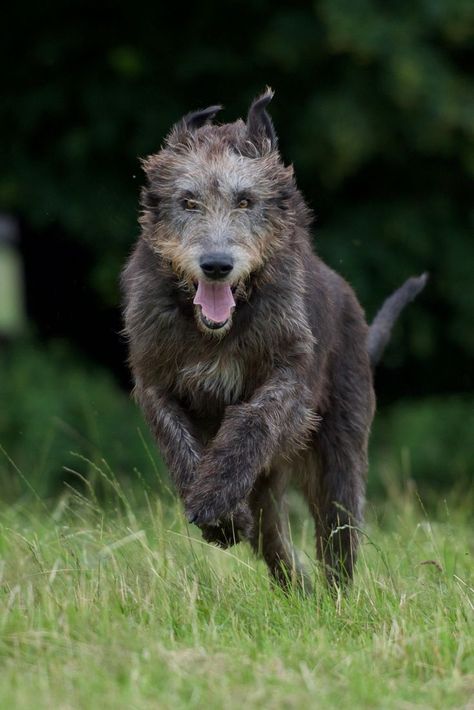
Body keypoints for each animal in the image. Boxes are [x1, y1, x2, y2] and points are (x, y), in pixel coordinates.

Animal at [121, 89, 426, 588]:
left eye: (246, 200)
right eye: (188, 201)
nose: (217, 265)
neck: (219, 331)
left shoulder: (291, 376)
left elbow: (254, 420)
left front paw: (217, 496)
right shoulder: (154, 378)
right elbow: (177, 443)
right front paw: (220, 516)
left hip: (341, 449)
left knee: (337, 530)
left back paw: (334, 595)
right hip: (272, 489)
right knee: (274, 540)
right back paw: (295, 584)